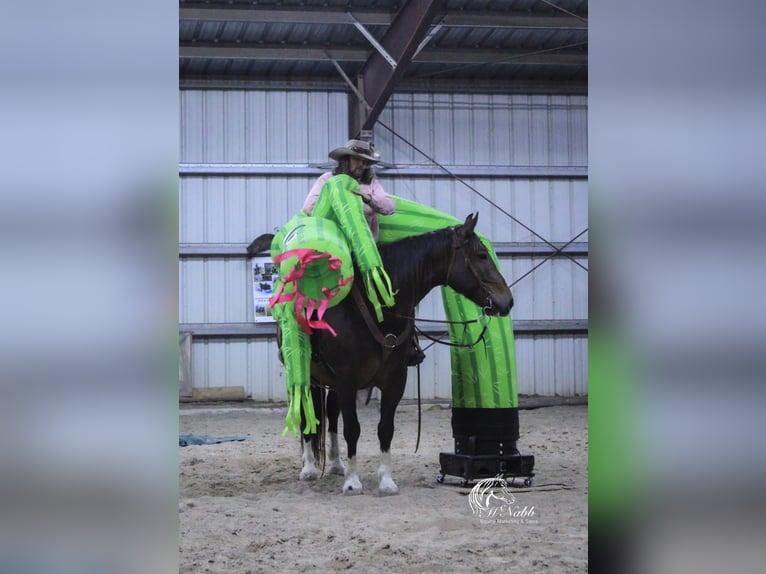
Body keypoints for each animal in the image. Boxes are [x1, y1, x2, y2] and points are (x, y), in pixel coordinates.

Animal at [250, 214, 516, 498]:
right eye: (481, 255)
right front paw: (353, 482)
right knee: (306, 417)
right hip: (306, 375)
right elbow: (352, 428)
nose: (507, 301)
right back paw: (309, 468)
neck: (374, 308)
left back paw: (335, 464)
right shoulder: (347, 379)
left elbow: (385, 429)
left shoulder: (394, 380)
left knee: (331, 416)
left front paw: (386, 481)